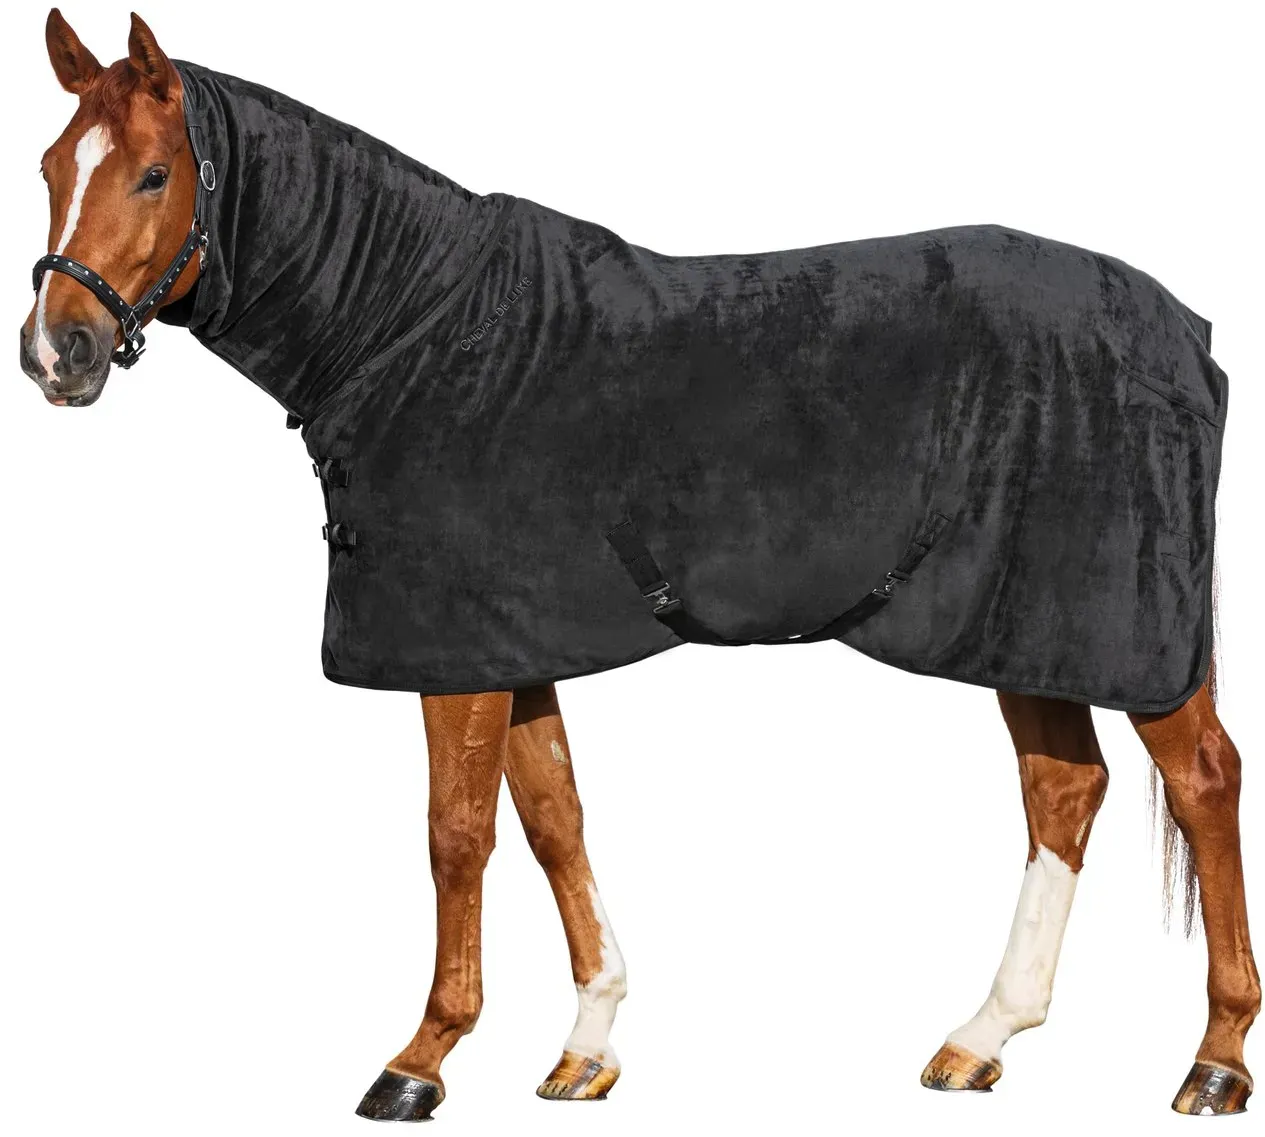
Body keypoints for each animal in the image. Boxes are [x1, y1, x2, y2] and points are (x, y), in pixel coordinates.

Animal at [19, 10, 1259, 1120]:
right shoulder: (509, 646)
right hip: (1023, 624)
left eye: (152, 174)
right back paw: (981, 1037)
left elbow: (456, 837)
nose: (54, 353)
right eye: (47, 167)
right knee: (1063, 789)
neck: (413, 330)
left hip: (1119, 628)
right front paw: (586, 1043)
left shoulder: (449, 652)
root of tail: (1185, 331)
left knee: (1201, 781)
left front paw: (420, 1059)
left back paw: (1211, 1062)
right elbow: (551, 816)